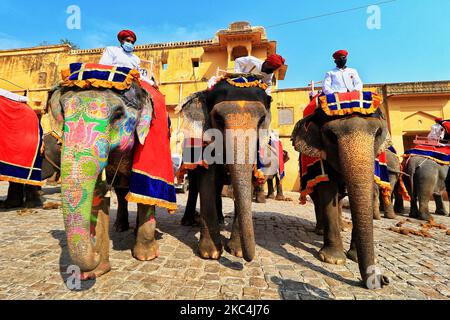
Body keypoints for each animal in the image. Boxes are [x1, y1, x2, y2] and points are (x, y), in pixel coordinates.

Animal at [47, 82, 159, 280]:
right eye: (63, 112)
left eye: (118, 114)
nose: (95, 252)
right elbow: (98, 194)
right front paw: (97, 272)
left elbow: (146, 190)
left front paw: (146, 257)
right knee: (121, 192)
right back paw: (121, 227)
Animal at [178, 78, 270, 262]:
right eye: (218, 119)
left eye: (262, 119)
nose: (249, 259)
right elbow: (207, 179)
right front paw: (210, 253)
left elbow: (248, 181)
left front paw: (237, 251)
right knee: (194, 183)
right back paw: (188, 221)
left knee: (218, 187)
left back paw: (220, 220)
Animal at [292, 106, 390, 288]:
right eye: (331, 136)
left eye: (378, 133)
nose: (384, 279)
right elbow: (327, 190)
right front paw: (333, 259)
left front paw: (356, 257)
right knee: (319, 199)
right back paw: (320, 230)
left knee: (337, 199)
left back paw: (342, 227)